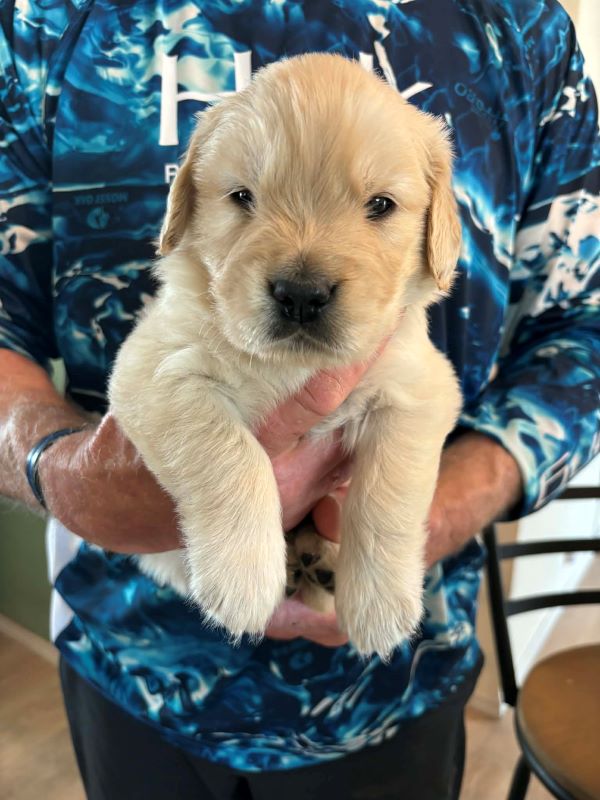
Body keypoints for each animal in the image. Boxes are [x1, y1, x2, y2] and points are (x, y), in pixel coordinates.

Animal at [108, 53, 462, 660]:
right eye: (242, 197)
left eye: (380, 206)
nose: (301, 294)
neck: (291, 366)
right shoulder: (152, 369)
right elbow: (227, 452)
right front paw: (243, 578)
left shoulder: (419, 389)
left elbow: (388, 493)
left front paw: (380, 604)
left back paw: (320, 561)